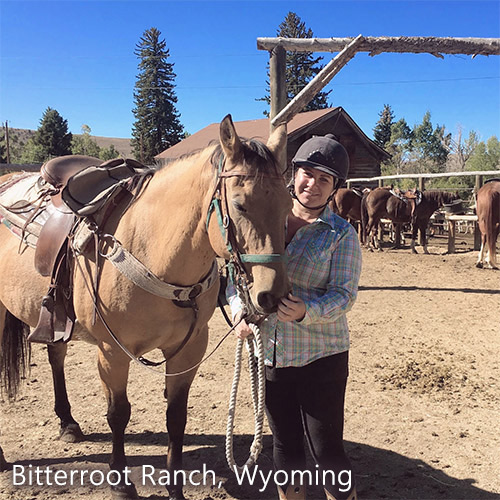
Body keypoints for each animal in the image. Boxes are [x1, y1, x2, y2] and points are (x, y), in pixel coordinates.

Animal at [0, 114, 292, 500]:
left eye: (288, 205)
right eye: (241, 204)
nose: (272, 296)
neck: (152, 249)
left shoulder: (189, 349)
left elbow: (176, 415)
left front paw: (175, 487)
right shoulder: (112, 352)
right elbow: (118, 413)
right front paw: (122, 484)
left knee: (56, 357)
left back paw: (67, 422)